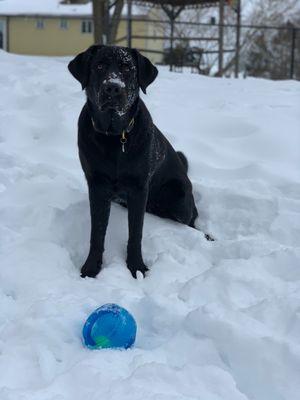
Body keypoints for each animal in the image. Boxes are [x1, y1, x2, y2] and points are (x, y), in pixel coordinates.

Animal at [69, 46, 198, 278]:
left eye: (127, 67)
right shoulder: (97, 185)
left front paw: (137, 267)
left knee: (193, 220)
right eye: (99, 66)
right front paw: (91, 267)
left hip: (180, 196)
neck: (114, 137)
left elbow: (135, 233)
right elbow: (97, 232)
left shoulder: (139, 188)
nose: (113, 87)